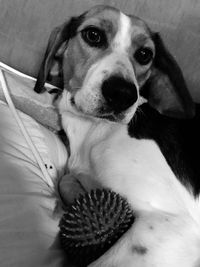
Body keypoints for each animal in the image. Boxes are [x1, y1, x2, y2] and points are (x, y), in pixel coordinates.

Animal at [34, 4, 200, 267]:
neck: (93, 130)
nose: (122, 94)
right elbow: (66, 180)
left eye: (144, 54)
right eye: (93, 35)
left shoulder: (173, 224)